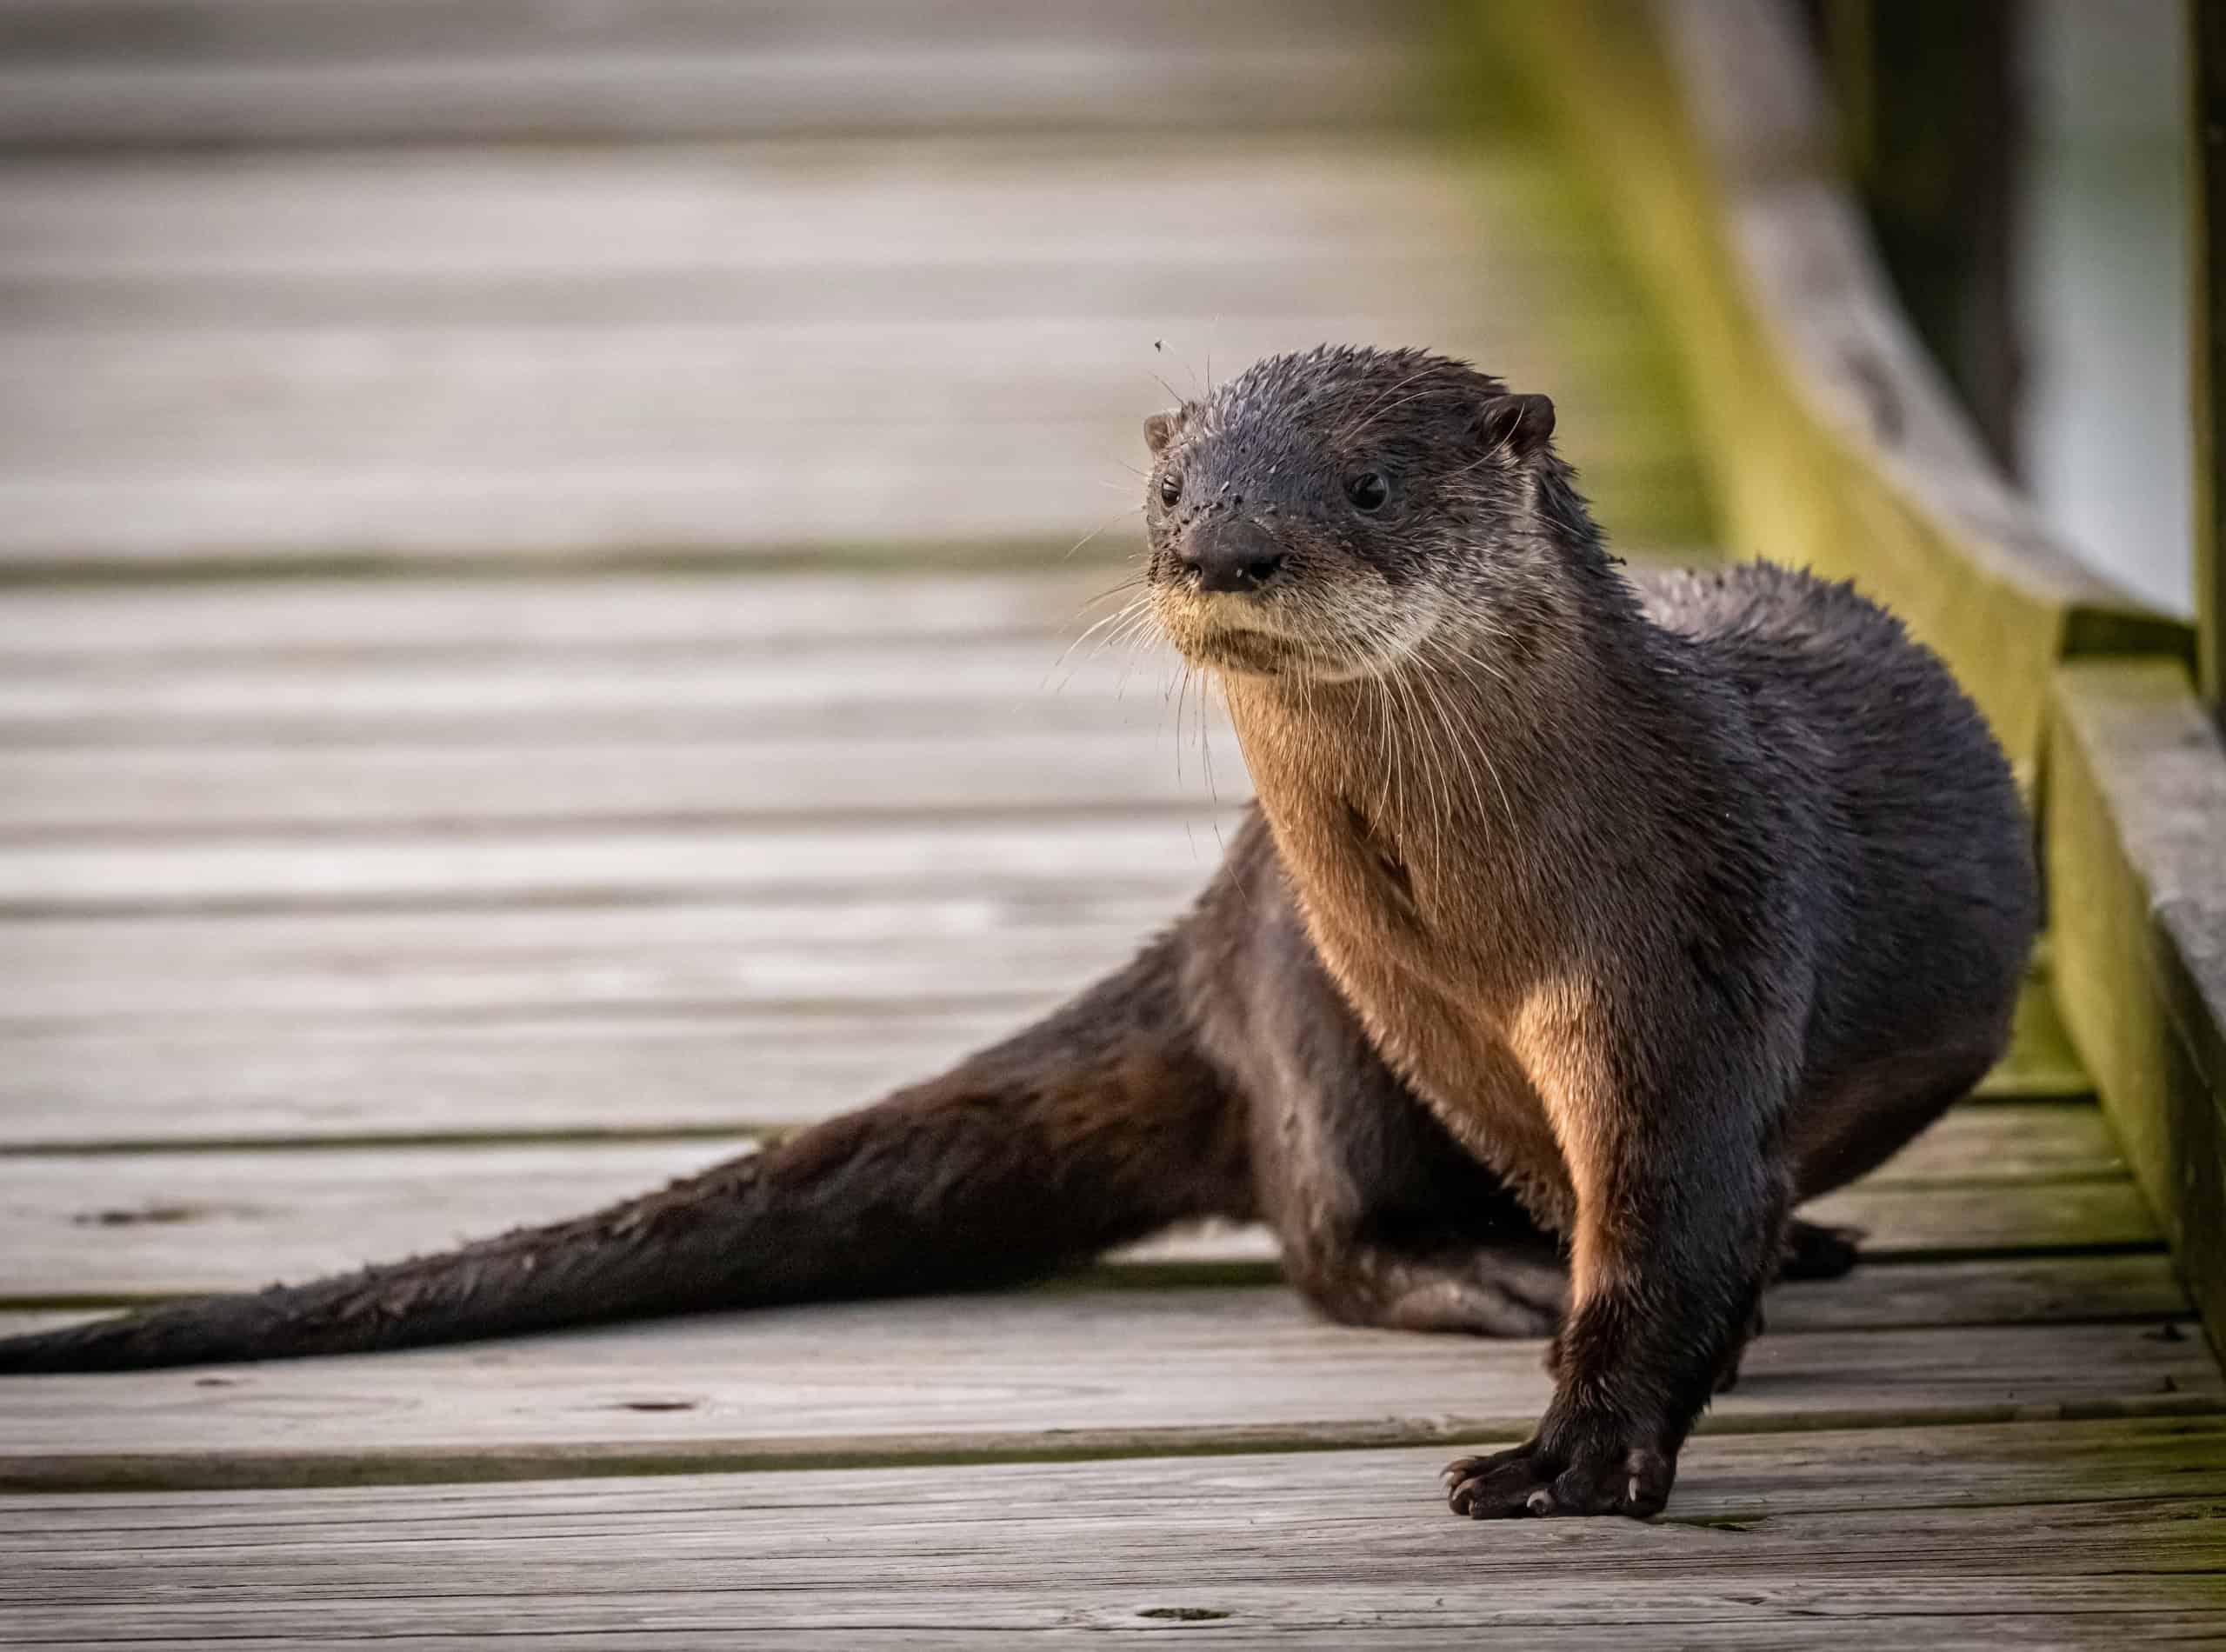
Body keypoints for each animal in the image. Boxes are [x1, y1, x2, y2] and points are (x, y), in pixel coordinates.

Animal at [0, 347, 2037, 1522]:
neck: (1482, 914)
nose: (1222, 551)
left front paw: (1585, 1448)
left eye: (1366, 484)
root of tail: (1209, 920)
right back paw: (1487, 1272)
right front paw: (1555, 1327)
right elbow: (1555, 1206)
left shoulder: (1693, 952)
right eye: (1169, 487)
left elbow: (1672, 1216)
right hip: (1292, 987)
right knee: (1326, 1217)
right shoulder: (1405, 998)